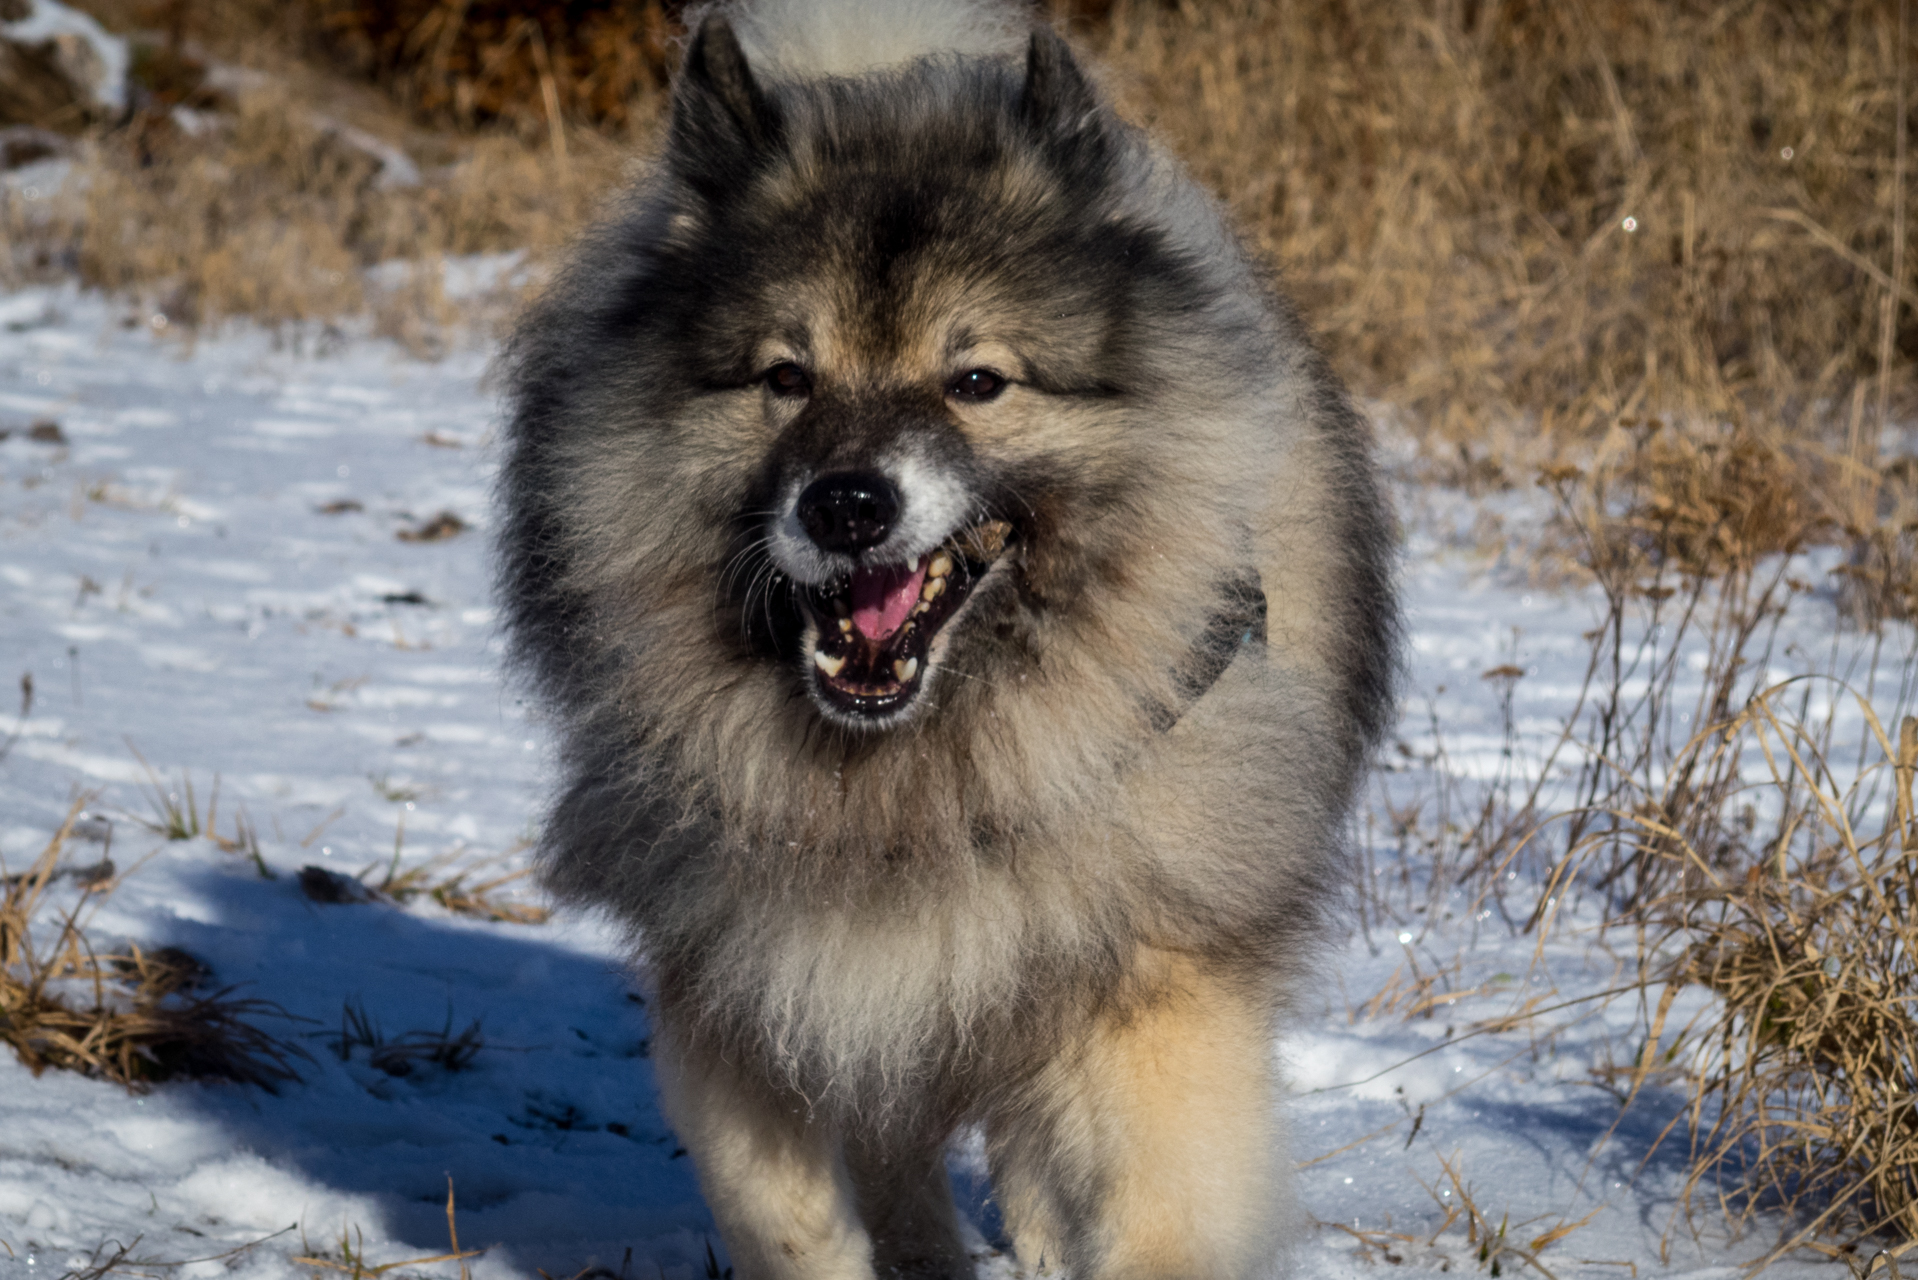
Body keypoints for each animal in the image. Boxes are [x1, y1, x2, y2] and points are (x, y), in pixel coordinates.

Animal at [494, 2, 1396, 1280]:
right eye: (785, 376)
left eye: (977, 380)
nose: (846, 504)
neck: (913, 778)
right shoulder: (756, 983)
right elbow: (795, 1218)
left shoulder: (1140, 994)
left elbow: (1145, 1210)